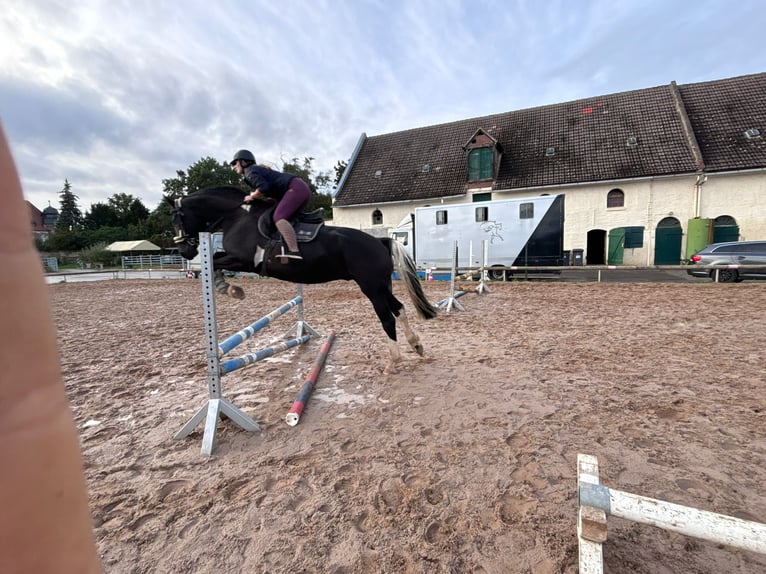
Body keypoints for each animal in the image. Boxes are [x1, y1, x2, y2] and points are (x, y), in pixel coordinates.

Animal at [170, 184, 440, 374]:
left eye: (177, 218)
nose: (185, 251)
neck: (236, 217)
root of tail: (380, 241)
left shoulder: (244, 260)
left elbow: (215, 262)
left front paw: (229, 289)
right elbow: (215, 259)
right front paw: (228, 287)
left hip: (371, 288)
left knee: (387, 318)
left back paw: (393, 362)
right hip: (382, 286)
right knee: (399, 309)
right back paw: (417, 346)